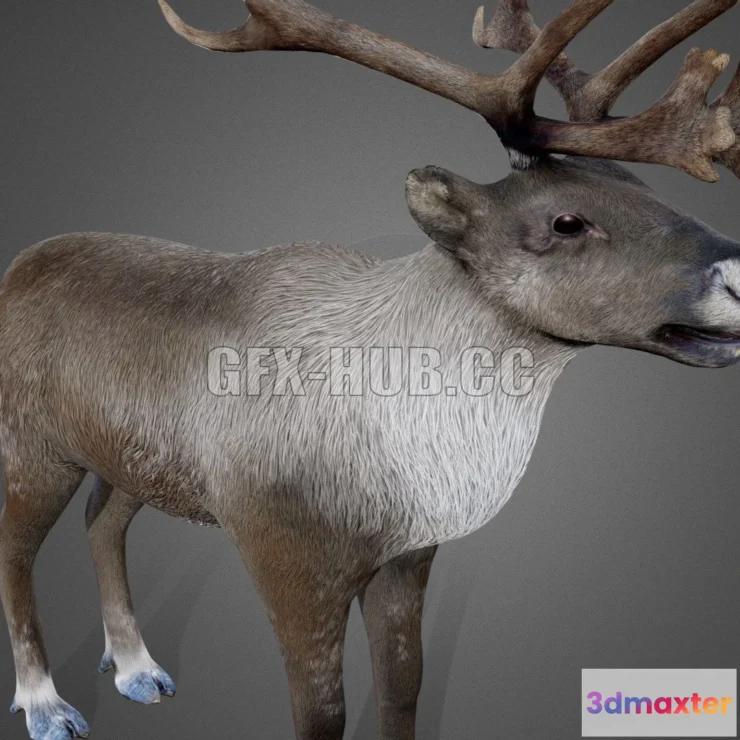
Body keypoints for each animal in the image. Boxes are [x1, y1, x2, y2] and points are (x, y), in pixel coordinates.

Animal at [1, 0, 740, 738]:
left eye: (645, 188)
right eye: (565, 221)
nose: (734, 271)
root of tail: (17, 266)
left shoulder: (409, 554)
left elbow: (403, 684)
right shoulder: (287, 555)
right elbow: (322, 710)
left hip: (127, 459)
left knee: (102, 520)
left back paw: (136, 669)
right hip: (32, 450)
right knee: (16, 553)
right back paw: (46, 706)